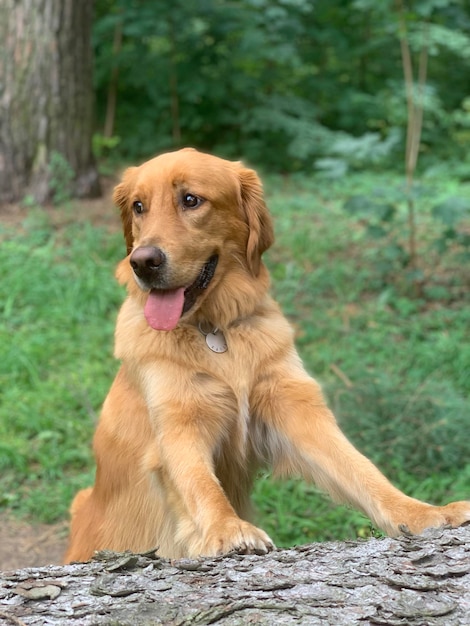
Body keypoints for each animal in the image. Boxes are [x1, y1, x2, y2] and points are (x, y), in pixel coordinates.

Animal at [64, 147, 468, 560]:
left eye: (190, 200)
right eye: (138, 206)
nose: (143, 262)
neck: (215, 332)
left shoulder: (293, 407)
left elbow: (361, 470)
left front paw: (425, 513)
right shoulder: (177, 423)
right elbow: (200, 483)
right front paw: (227, 529)